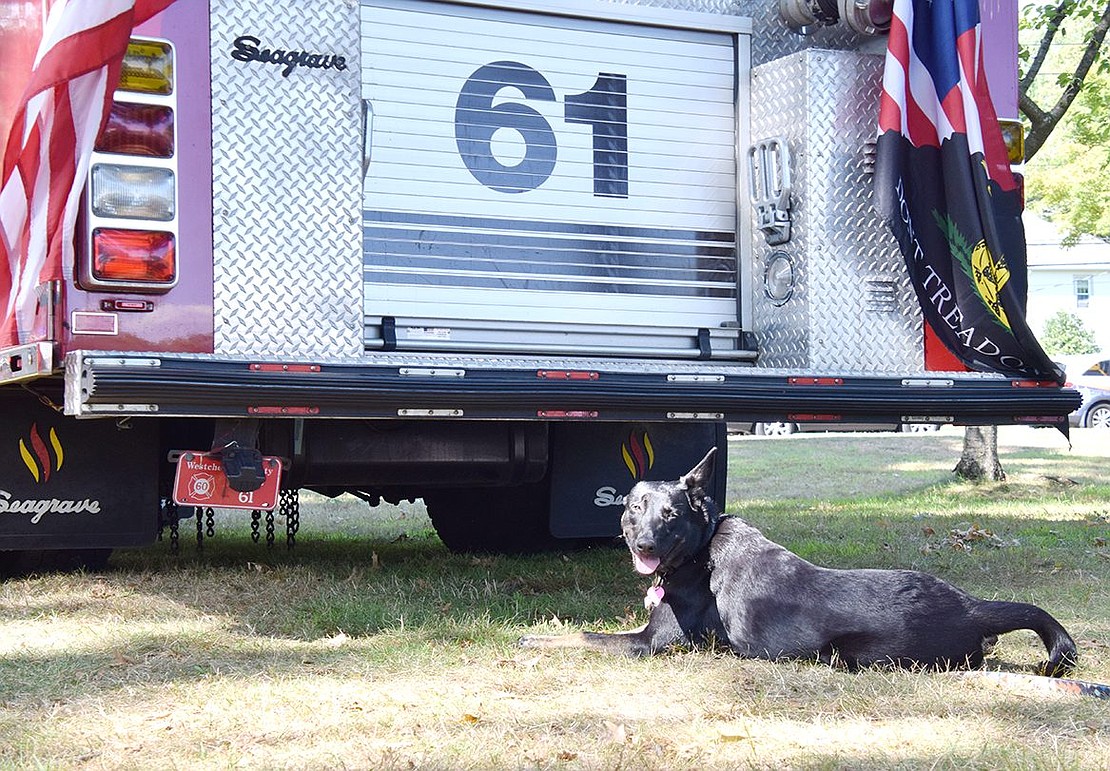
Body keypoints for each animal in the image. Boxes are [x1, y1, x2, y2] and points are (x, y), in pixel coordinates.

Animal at [523, 445, 1078, 674]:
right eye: (634, 509)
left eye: (671, 515)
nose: (645, 548)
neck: (701, 551)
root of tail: (971, 607)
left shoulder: (650, 643)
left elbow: (585, 635)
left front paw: (533, 637)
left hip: (851, 655)